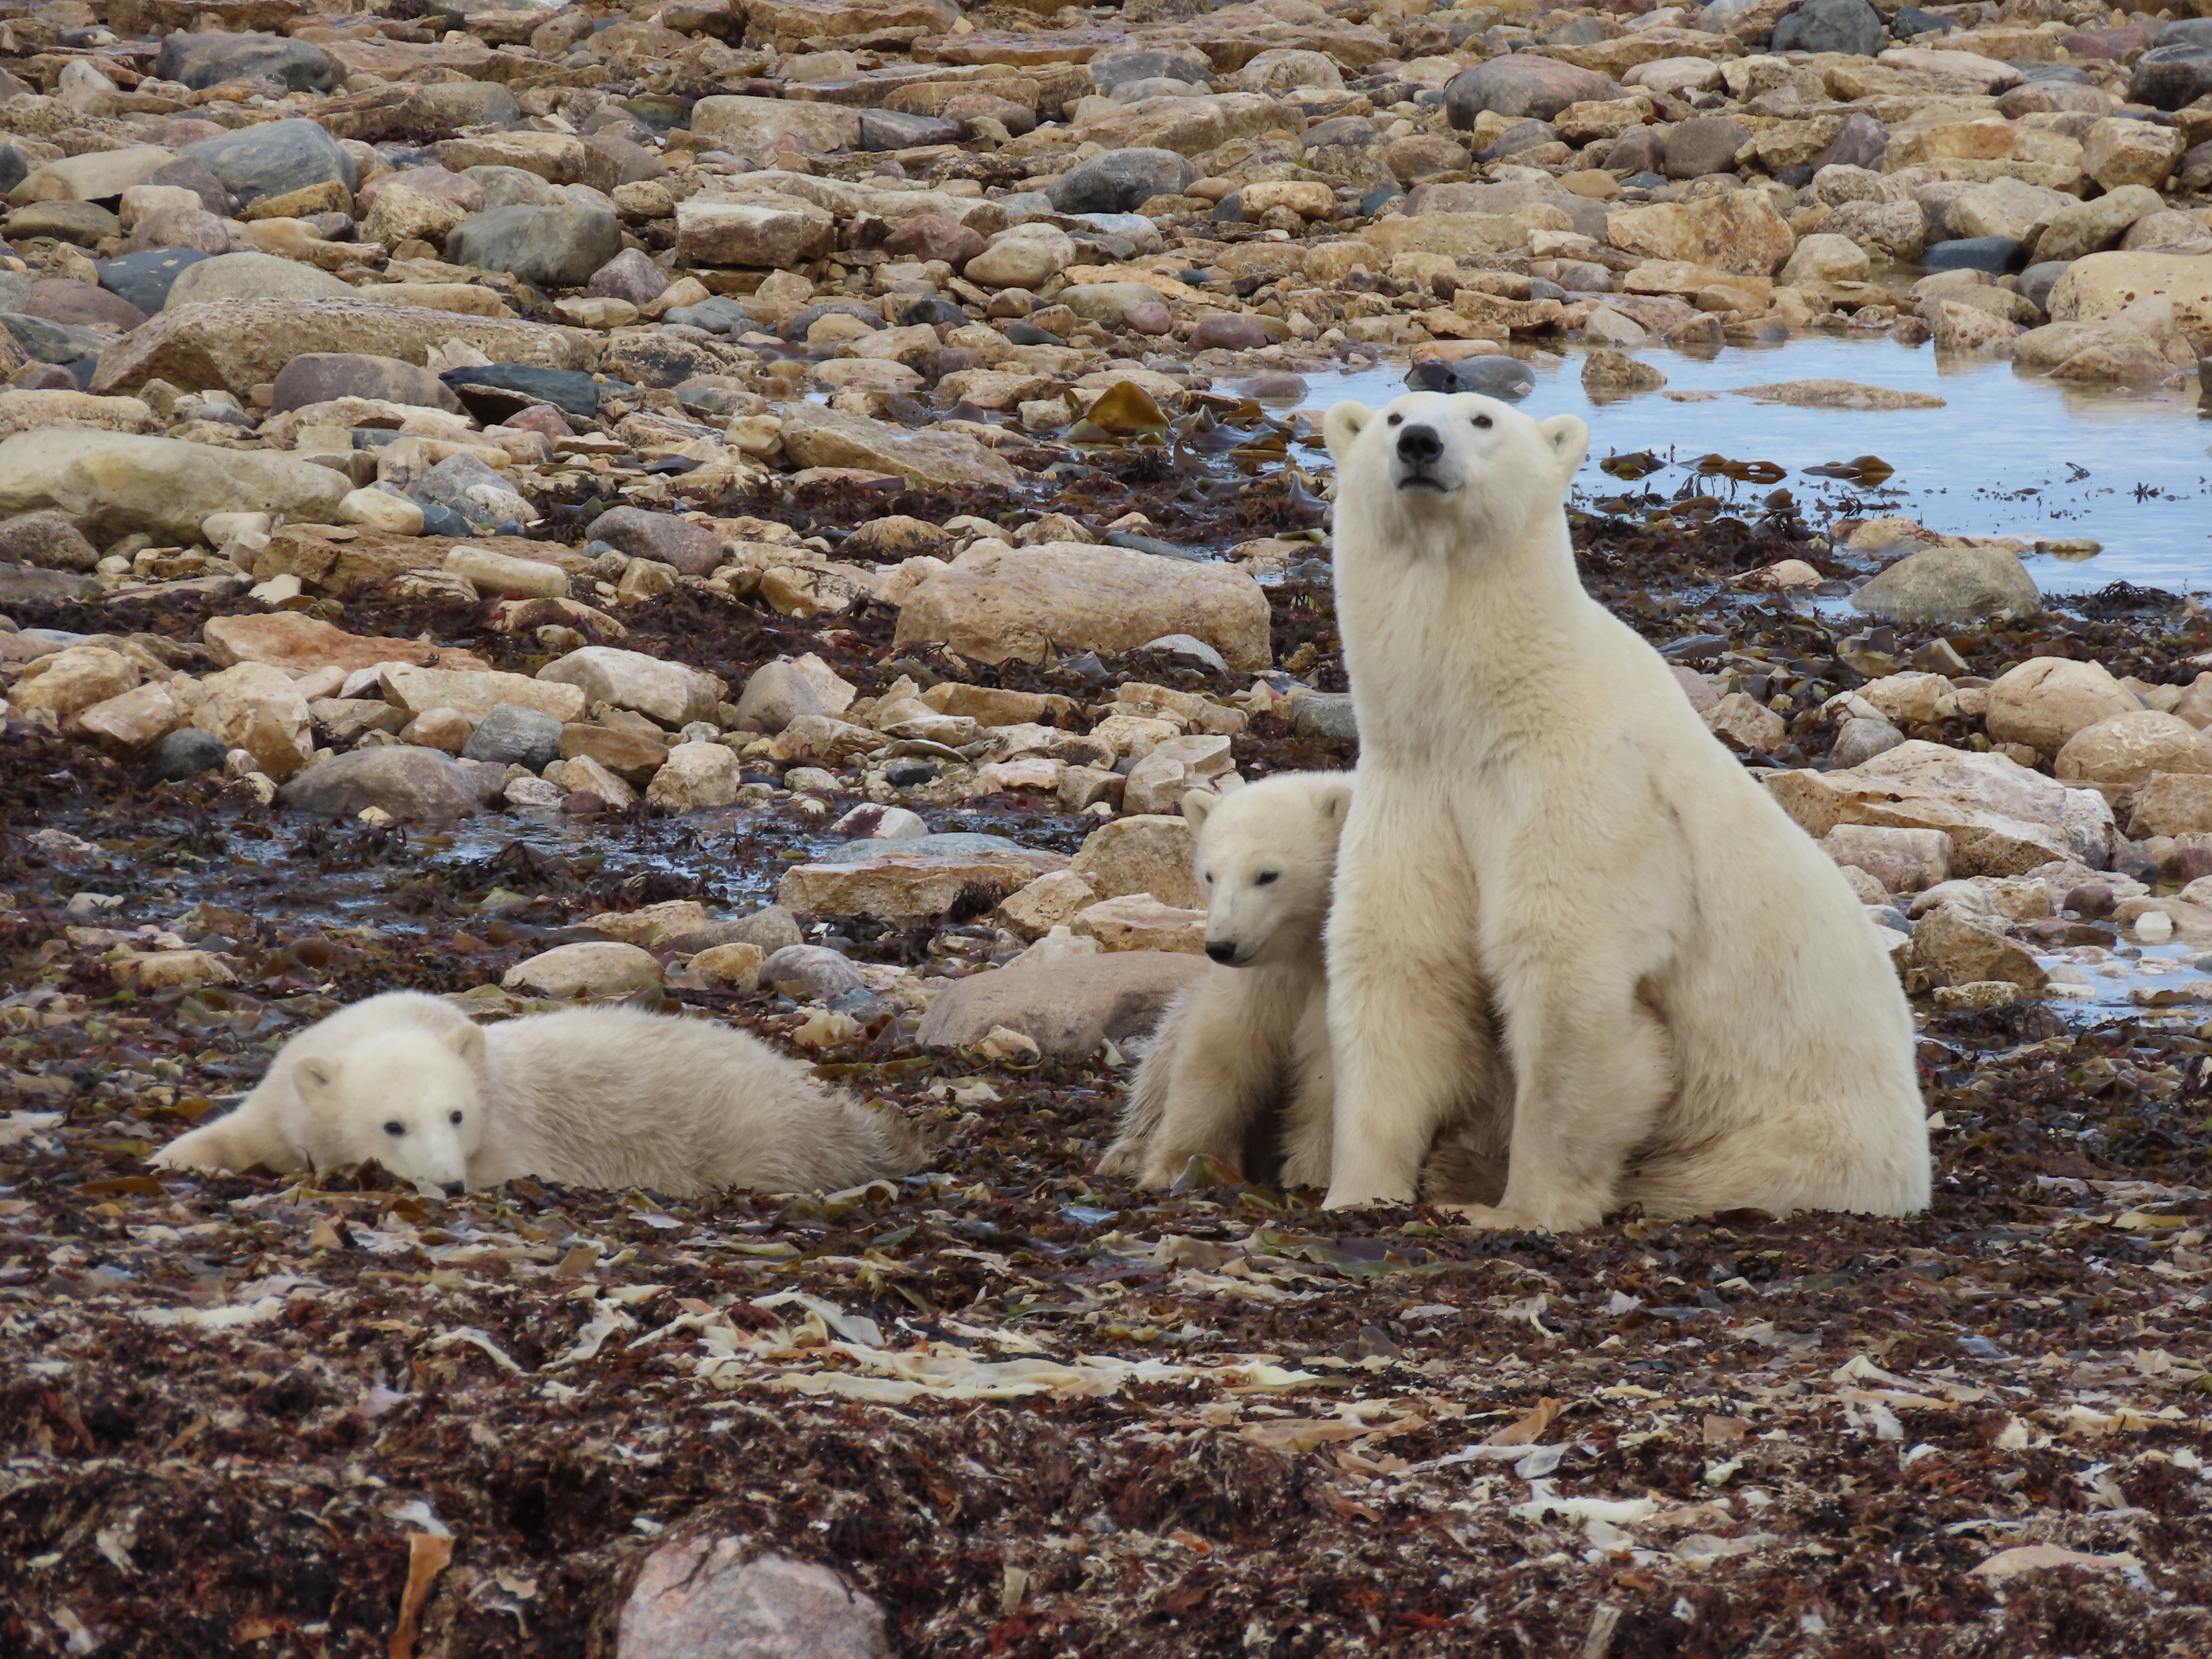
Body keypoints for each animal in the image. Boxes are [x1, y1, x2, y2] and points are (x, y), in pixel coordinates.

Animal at [149, 991, 924, 1195]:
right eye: (392, 1125)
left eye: (456, 1114)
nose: (447, 1185)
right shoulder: (287, 1089)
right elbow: (240, 1132)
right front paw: (170, 1159)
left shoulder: (509, 1134)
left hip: (748, 1130)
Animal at [1097, 771, 1511, 1201]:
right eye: (1210, 874)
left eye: (1267, 875)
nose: (1222, 946)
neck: (1305, 947)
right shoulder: (1267, 974)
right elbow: (1220, 1046)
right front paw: (1176, 1164)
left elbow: (1330, 1070)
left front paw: (1311, 1173)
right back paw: (1127, 1150)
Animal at [1319, 389, 1929, 1228]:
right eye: (1392, 414)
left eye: (1481, 418)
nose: (1418, 443)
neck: (1486, 719)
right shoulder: (1413, 791)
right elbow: (1399, 966)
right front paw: (1355, 1192)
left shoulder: (1595, 795)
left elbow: (1570, 981)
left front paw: (1519, 1210)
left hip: (1792, 1138)